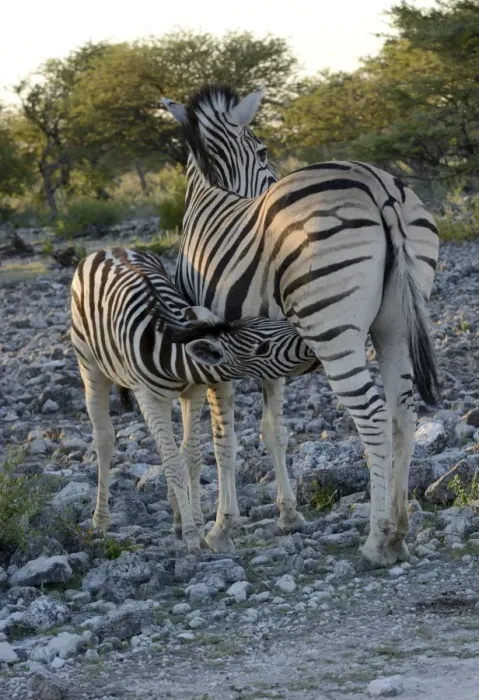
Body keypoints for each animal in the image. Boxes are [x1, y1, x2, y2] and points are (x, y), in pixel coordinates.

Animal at [70, 247, 317, 553]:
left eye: (270, 322)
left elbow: (191, 455)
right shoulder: (147, 396)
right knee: (104, 438)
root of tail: (106, 249)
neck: (171, 351)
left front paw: (196, 524)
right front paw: (190, 534)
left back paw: (176, 514)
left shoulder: (194, 391)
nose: (309, 341)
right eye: (262, 348)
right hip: (89, 364)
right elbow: (174, 462)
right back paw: (101, 521)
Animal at [162, 84, 440, 568]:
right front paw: (288, 515)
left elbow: (223, 439)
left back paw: (379, 538)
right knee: (403, 412)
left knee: (373, 415)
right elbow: (274, 431)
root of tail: (378, 185)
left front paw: (221, 528)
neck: (211, 194)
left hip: (332, 329)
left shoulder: (215, 353)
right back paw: (401, 531)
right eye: (263, 150)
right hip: (397, 324)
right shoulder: (263, 352)